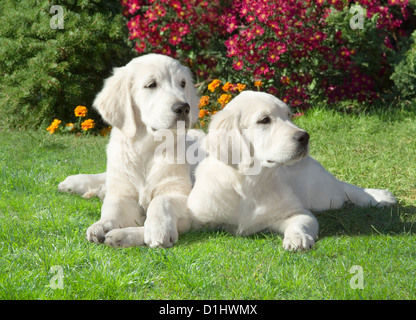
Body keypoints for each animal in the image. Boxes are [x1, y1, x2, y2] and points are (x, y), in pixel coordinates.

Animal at [59, 53, 200, 248]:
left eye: (183, 83)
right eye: (151, 85)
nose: (183, 108)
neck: (147, 147)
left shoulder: (179, 192)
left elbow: (161, 200)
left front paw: (158, 229)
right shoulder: (123, 193)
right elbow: (113, 208)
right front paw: (102, 224)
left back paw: (122, 235)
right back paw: (72, 183)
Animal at [188, 90, 396, 250]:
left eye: (288, 115)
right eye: (264, 120)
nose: (304, 137)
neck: (249, 181)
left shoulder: (296, 212)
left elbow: (300, 222)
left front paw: (298, 238)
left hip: (325, 196)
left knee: (342, 187)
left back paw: (379, 197)